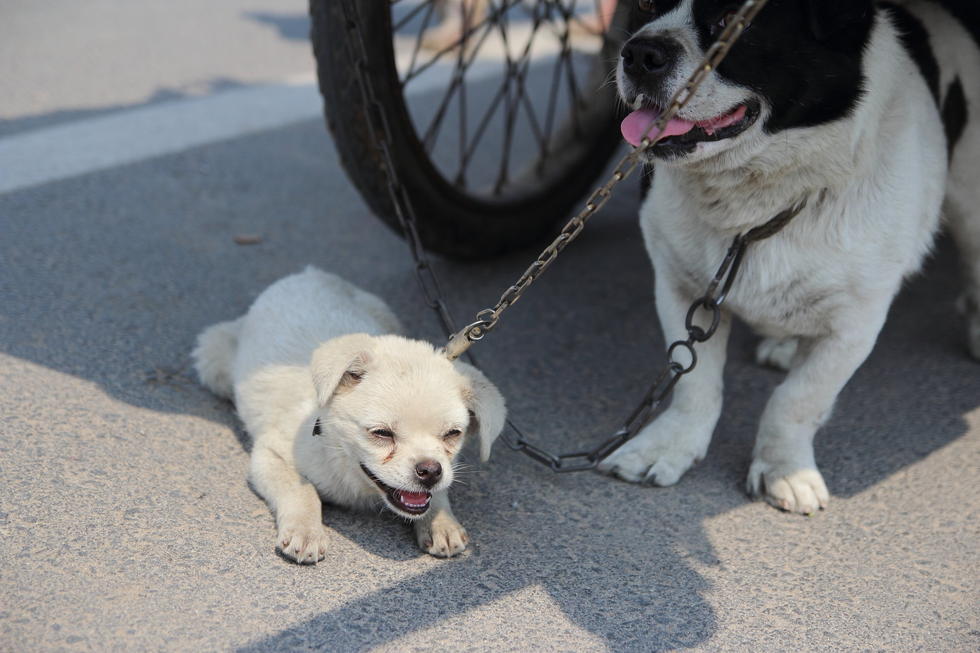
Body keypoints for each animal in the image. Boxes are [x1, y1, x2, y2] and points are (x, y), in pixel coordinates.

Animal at [195, 266, 510, 560]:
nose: (430, 471)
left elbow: (438, 492)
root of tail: (309, 274)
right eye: (381, 433)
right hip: (213, 358)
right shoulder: (270, 454)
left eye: (452, 434)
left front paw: (441, 522)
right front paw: (305, 531)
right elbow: (301, 490)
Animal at [600, 1, 976, 516]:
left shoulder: (854, 327)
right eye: (645, 7)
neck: (757, 200)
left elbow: (796, 400)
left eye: (732, 21)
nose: (640, 53)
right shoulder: (680, 289)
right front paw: (670, 446)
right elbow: (695, 382)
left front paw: (784, 470)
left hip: (970, 201)